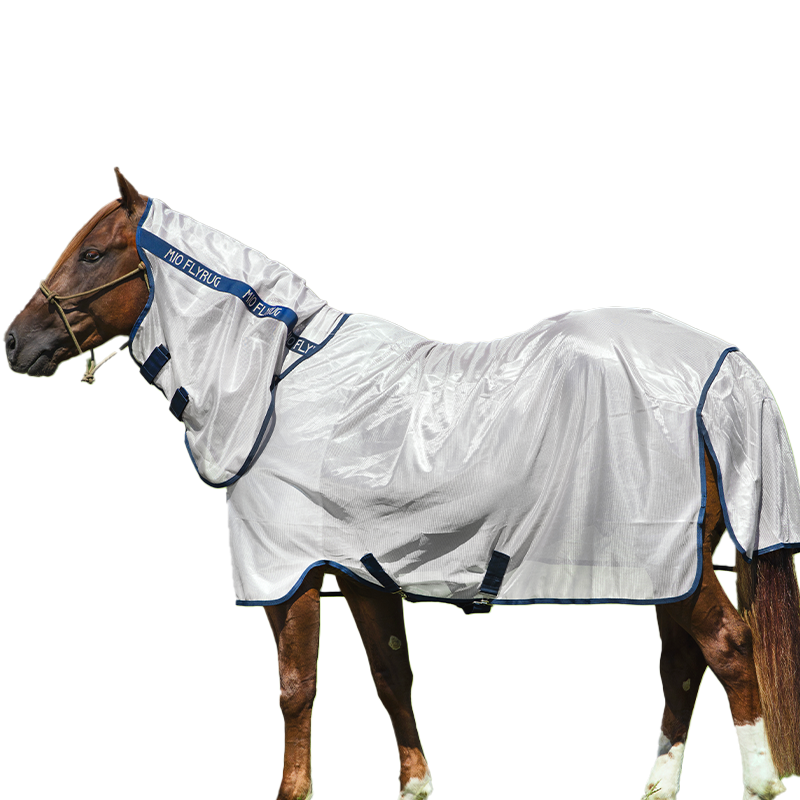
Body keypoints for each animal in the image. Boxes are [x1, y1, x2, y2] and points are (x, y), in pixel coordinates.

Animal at [5, 167, 800, 800]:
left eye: (95, 254)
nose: (15, 341)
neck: (281, 381)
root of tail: (726, 365)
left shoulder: (291, 573)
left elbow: (296, 687)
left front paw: (296, 791)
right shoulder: (361, 571)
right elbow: (392, 675)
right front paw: (415, 786)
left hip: (669, 560)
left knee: (729, 646)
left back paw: (760, 783)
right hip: (666, 564)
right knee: (682, 664)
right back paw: (657, 788)